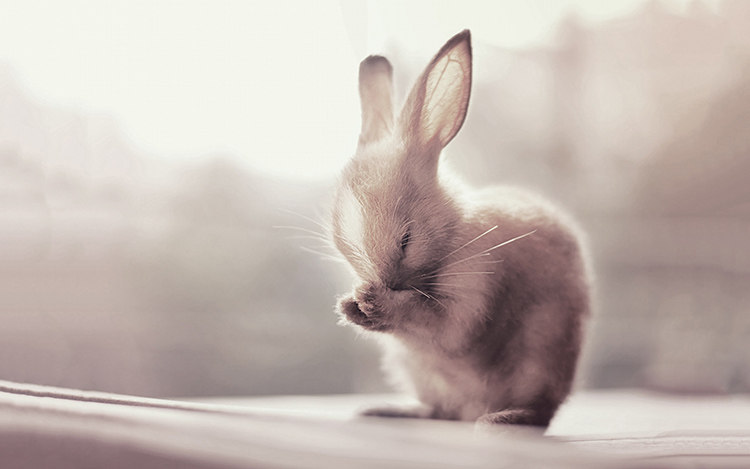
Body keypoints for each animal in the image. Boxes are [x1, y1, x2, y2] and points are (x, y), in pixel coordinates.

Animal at [332, 30, 591, 428]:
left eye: (406, 240)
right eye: (343, 248)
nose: (384, 283)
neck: (452, 232)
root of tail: (473, 410)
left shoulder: (471, 294)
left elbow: (442, 327)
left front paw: (373, 302)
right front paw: (351, 305)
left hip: (541, 356)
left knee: (541, 412)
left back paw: (503, 418)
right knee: (440, 411)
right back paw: (388, 410)